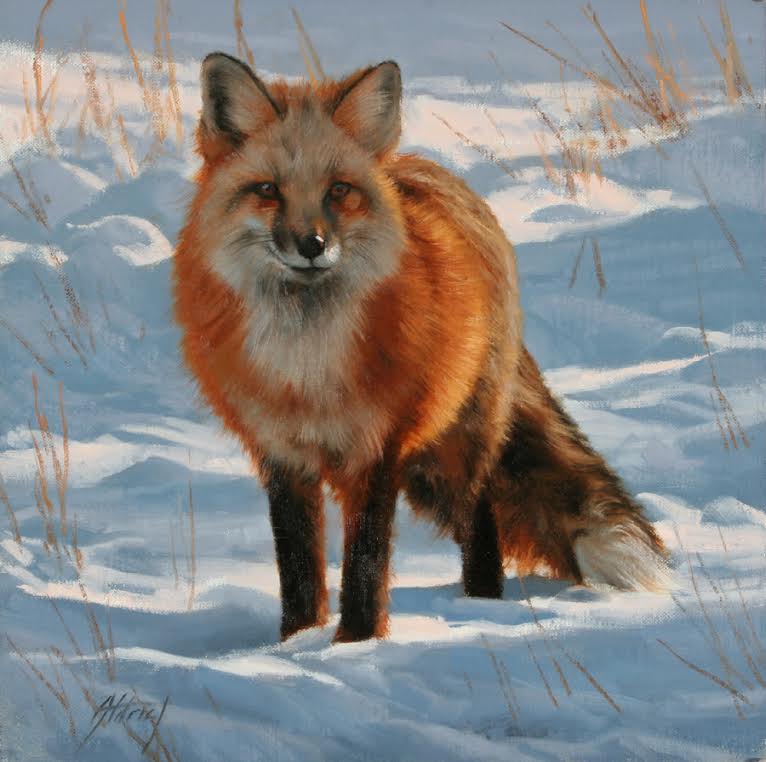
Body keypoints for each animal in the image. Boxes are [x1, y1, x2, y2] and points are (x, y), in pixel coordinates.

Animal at [172, 52, 672, 643]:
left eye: (338, 190)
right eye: (268, 189)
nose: (312, 245)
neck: (307, 360)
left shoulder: (376, 449)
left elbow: (366, 564)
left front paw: (356, 644)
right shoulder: (283, 456)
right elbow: (297, 569)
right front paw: (296, 643)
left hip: (452, 451)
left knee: (483, 521)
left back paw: (482, 607)